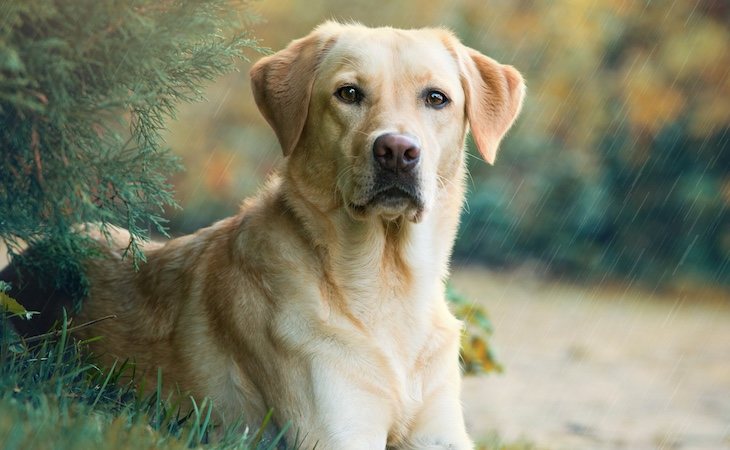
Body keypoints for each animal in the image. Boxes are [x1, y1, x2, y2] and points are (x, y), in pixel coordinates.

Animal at [2, 22, 520, 450]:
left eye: (436, 98)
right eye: (349, 93)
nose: (397, 151)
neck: (386, 284)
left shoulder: (442, 434)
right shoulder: (337, 432)